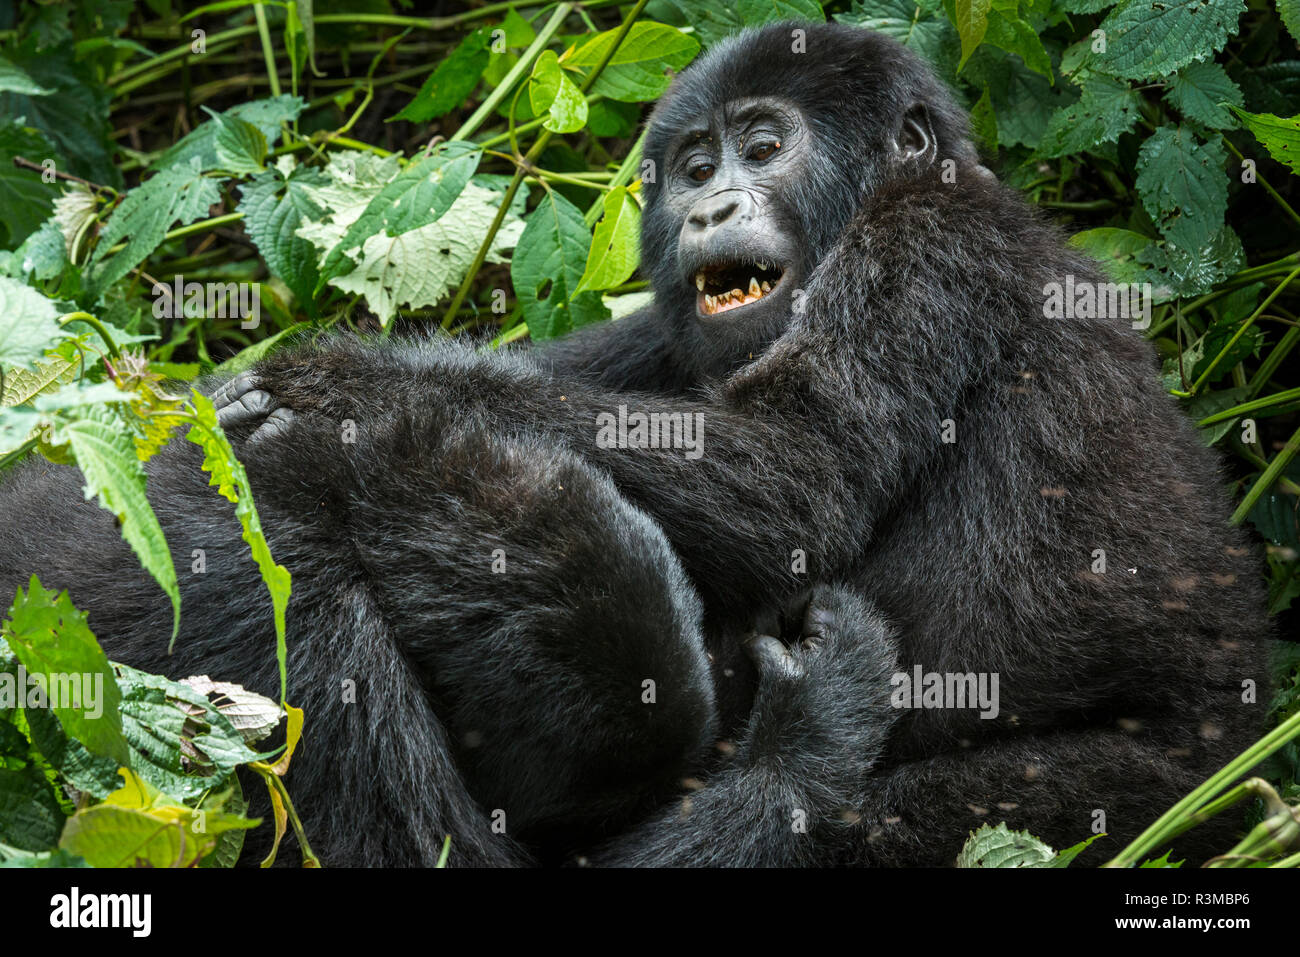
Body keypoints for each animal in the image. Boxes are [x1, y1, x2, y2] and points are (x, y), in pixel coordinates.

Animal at [0, 22, 1274, 863]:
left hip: (1176, 782)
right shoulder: (655, 337)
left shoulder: (939, 235)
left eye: (766, 146)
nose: (708, 207)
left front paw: (346, 387)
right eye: (698, 164)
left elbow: (800, 480)